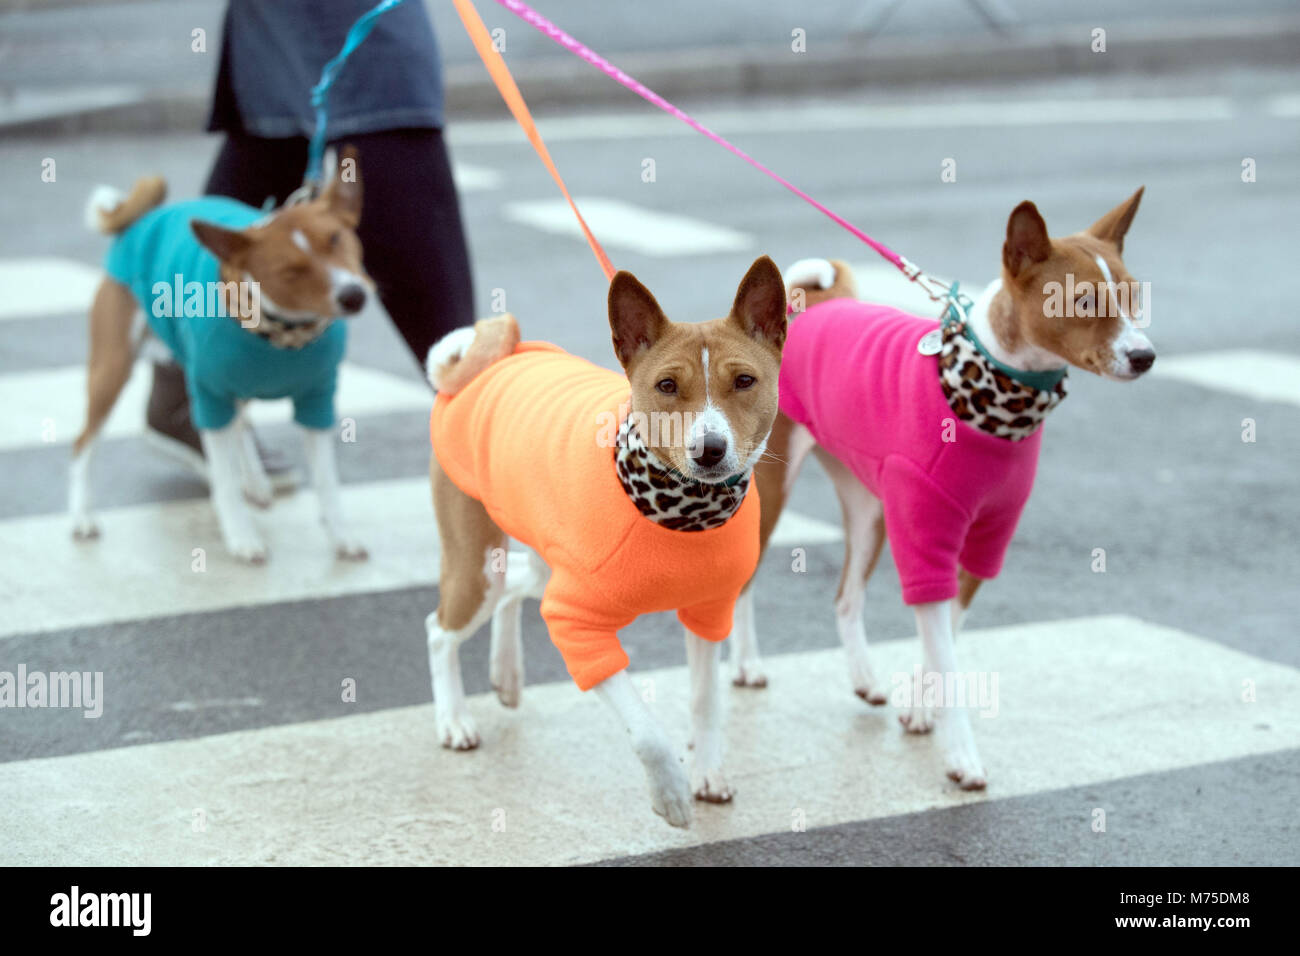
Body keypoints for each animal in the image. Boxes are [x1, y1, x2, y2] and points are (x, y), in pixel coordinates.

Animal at [71, 150, 374, 564]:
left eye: (335, 239)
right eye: (291, 271)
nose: (354, 295)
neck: (283, 332)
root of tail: (141, 220)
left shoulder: (318, 400)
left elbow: (328, 483)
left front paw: (341, 536)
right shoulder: (211, 395)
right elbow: (225, 480)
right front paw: (241, 535)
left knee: (241, 423)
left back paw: (255, 480)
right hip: (112, 370)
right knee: (83, 444)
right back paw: (83, 516)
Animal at [738, 188, 1154, 790]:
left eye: (1132, 296)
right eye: (1080, 302)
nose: (1145, 356)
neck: (989, 399)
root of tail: (816, 306)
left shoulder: (983, 543)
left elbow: (945, 646)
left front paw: (920, 707)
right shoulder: (927, 535)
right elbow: (951, 663)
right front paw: (962, 756)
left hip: (871, 508)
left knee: (846, 596)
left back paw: (864, 677)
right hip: (773, 492)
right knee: (743, 584)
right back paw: (747, 665)